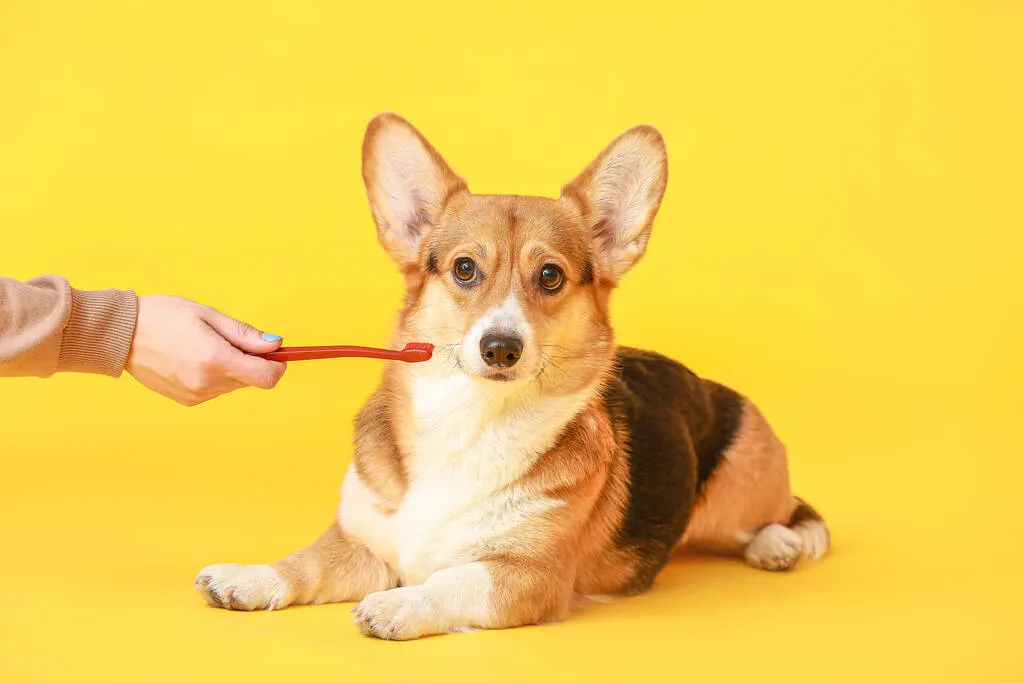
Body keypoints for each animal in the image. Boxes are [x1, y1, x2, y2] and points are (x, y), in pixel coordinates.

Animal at [195, 113, 827, 643]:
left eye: (550, 275)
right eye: (464, 269)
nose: (501, 348)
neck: (469, 423)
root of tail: (716, 389)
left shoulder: (525, 577)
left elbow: (449, 581)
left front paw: (399, 604)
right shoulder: (361, 545)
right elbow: (302, 564)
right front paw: (248, 578)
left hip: (738, 492)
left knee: (787, 513)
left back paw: (778, 544)